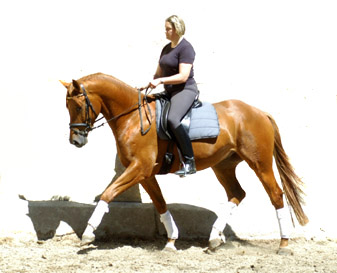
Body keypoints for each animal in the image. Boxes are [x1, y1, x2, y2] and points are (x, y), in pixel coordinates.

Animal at [60, 73, 308, 253]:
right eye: (67, 107)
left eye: (79, 106)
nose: (75, 140)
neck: (132, 118)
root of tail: (260, 112)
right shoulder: (146, 174)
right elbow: (160, 204)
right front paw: (171, 241)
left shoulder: (139, 168)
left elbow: (108, 193)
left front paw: (88, 232)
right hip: (224, 166)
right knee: (237, 193)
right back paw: (214, 238)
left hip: (259, 163)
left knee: (276, 194)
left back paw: (283, 243)